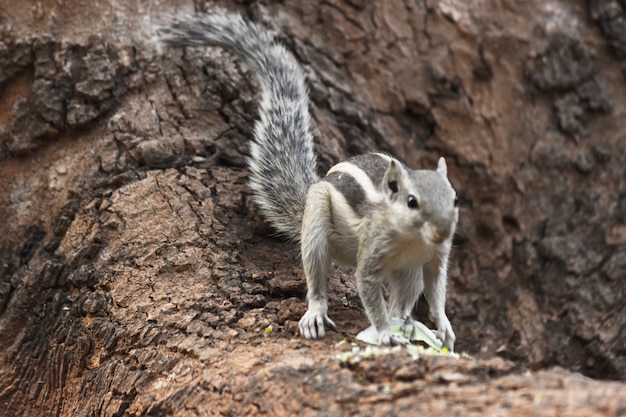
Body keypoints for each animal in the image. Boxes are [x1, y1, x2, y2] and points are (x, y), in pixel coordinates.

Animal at [158, 10, 456, 348]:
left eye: (454, 199)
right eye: (411, 201)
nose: (443, 232)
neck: (413, 238)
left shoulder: (435, 258)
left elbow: (436, 290)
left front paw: (443, 326)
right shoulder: (372, 253)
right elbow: (368, 288)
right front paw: (383, 332)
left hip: (407, 272)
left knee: (405, 293)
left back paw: (404, 322)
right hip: (316, 226)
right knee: (316, 276)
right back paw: (319, 313)